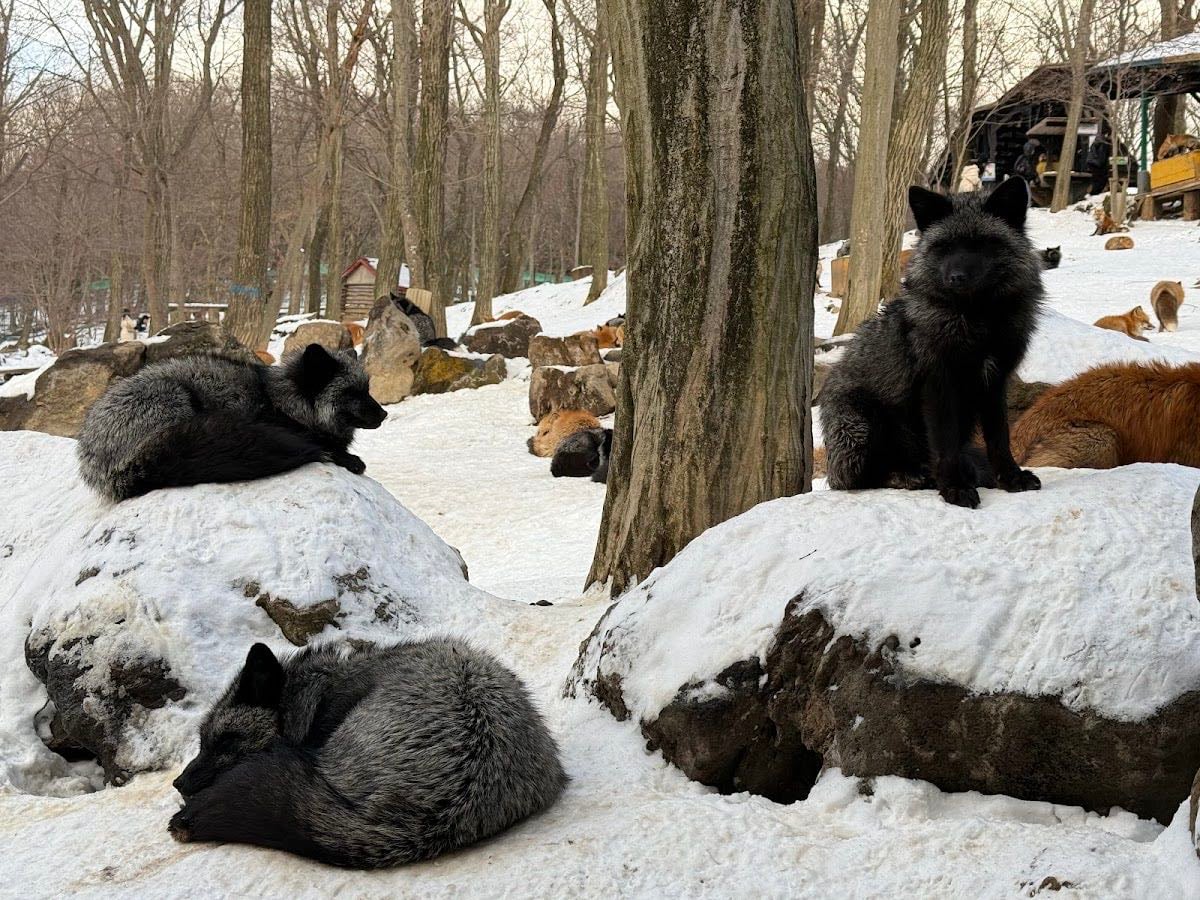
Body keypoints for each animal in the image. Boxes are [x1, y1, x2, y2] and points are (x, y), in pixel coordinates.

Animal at [76, 343, 386, 501]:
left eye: (368, 388)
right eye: (352, 393)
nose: (384, 415)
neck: (280, 400)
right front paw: (346, 457)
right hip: (174, 394)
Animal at [820, 176, 1043, 508]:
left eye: (982, 244)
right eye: (945, 247)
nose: (956, 277)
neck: (977, 321)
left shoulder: (995, 383)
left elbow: (1000, 439)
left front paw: (1010, 477)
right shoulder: (939, 384)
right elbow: (946, 444)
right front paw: (954, 487)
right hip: (862, 424)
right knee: (859, 479)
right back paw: (910, 476)